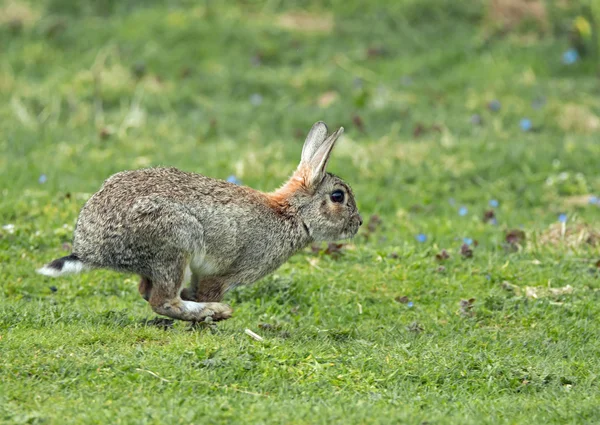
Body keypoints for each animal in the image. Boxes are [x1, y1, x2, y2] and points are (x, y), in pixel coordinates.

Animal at [39, 121, 364, 320]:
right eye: (338, 196)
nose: (358, 223)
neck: (292, 213)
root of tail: (90, 249)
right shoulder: (224, 274)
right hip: (175, 243)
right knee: (162, 301)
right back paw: (215, 312)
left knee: (148, 292)